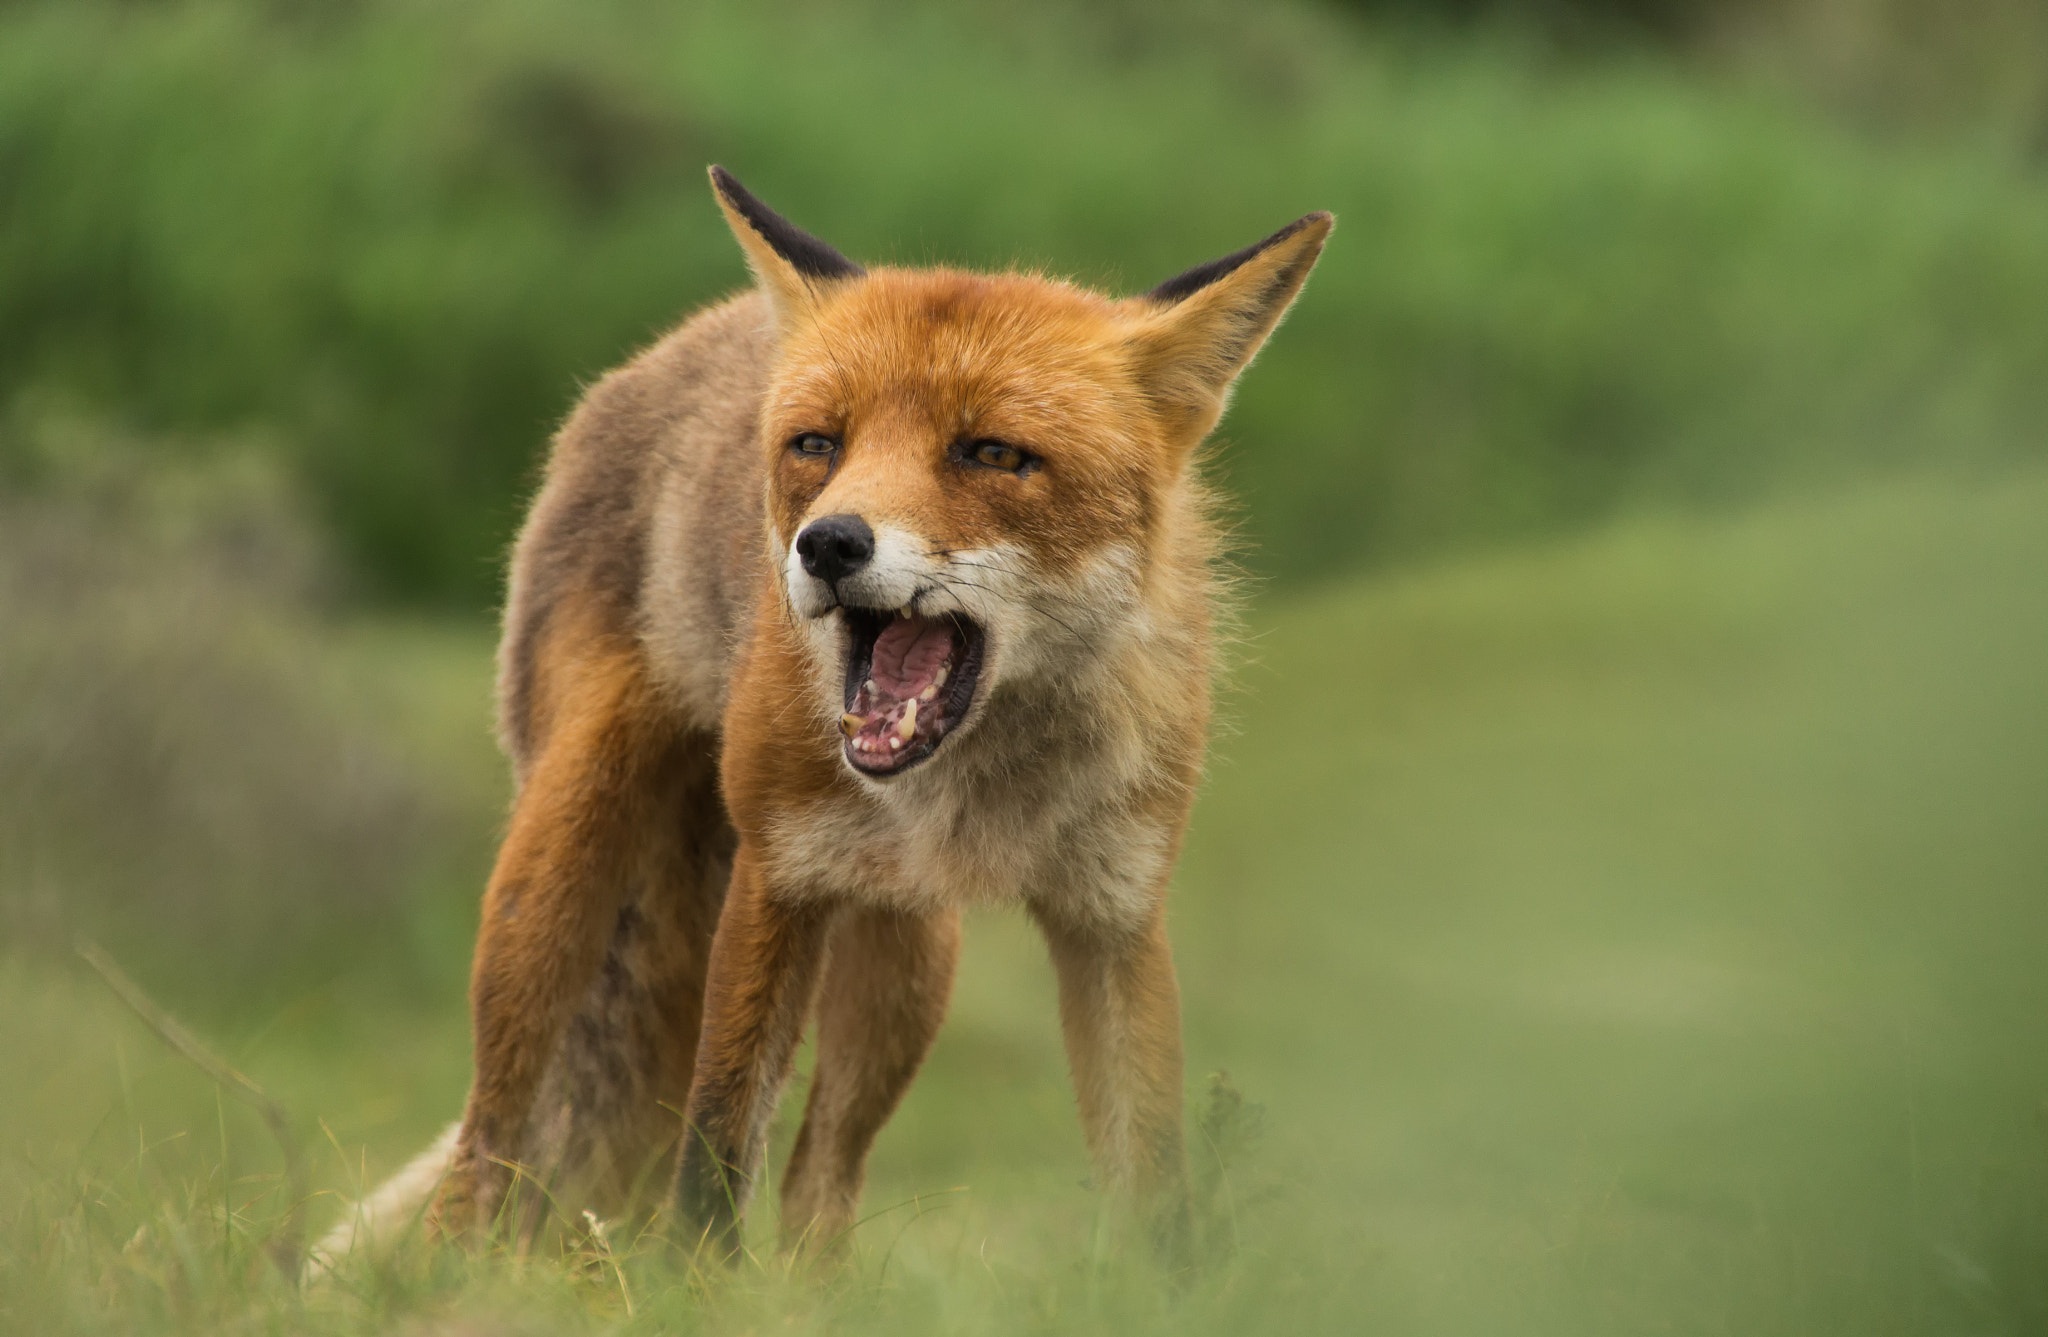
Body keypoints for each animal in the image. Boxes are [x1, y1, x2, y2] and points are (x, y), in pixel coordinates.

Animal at [305, 169, 1327, 1269]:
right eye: (818, 446)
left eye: (991, 452)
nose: (827, 542)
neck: (984, 784)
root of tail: (676, 340)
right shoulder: (778, 873)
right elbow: (713, 1150)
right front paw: (693, 1287)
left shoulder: (1116, 914)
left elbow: (1156, 1186)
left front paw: (1163, 1287)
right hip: (556, 870)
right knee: (490, 1132)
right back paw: (442, 1276)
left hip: (909, 961)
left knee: (820, 1182)